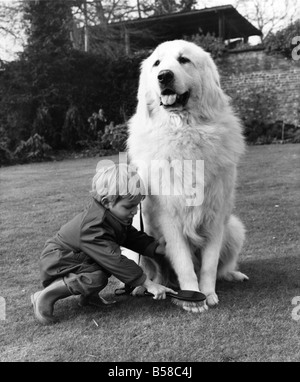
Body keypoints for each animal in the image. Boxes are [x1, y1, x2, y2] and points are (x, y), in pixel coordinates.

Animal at [125, 39, 247, 314]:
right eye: (157, 63)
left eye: (184, 60)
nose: (164, 76)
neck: (184, 130)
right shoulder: (169, 219)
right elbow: (183, 263)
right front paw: (193, 298)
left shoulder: (215, 217)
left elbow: (210, 265)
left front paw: (207, 293)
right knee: (148, 273)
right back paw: (145, 287)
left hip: (234, 228)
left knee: (223, 267)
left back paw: (233, 275)